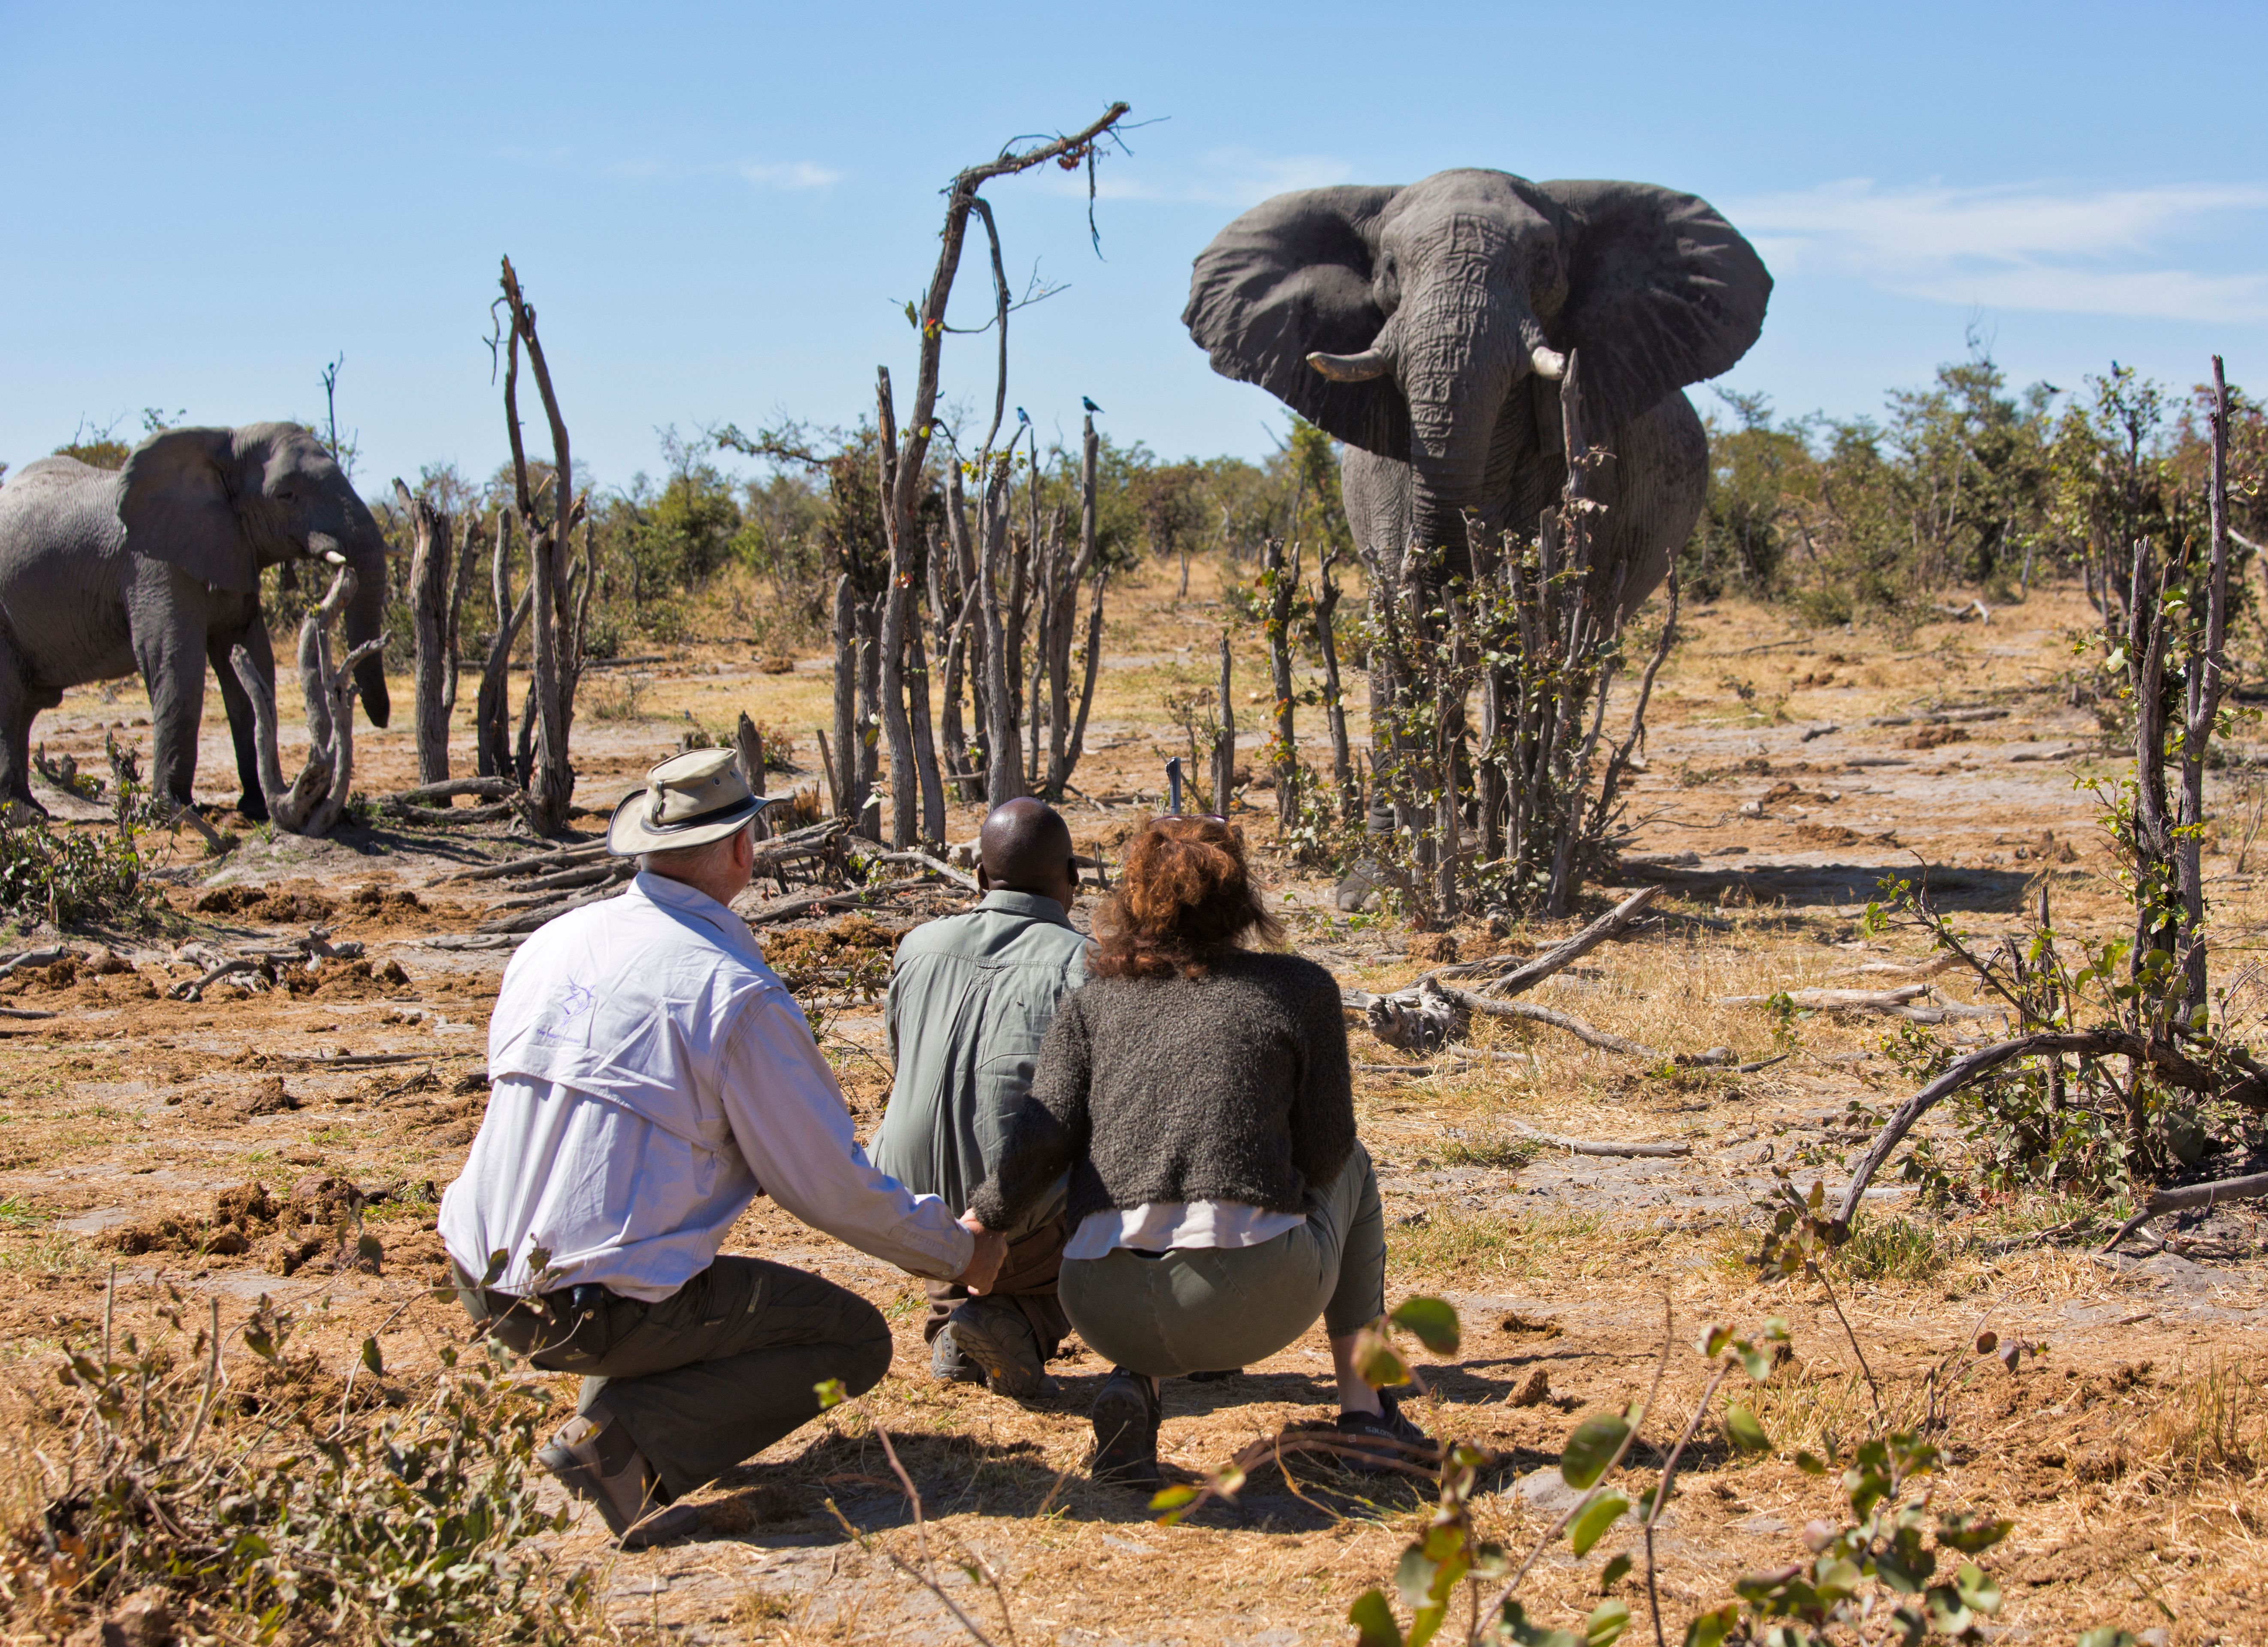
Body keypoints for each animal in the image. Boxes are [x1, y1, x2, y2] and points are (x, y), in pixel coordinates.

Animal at [0, 422, 393, 819]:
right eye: (286, 495)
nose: (380, 718)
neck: (223, 445)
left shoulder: (234, 552)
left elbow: (251, 664)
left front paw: (256, 808)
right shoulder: (154, 566)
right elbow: (175, 661)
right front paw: (172, 811)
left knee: (25, 706)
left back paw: (28, 812)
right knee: (11, 700)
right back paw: (22, 814)